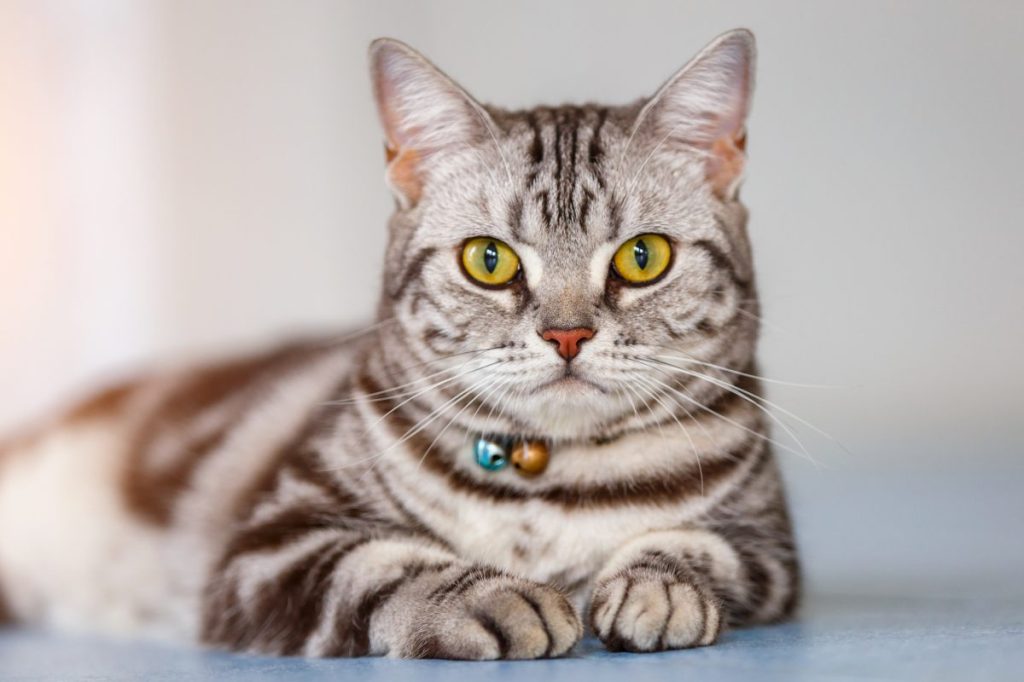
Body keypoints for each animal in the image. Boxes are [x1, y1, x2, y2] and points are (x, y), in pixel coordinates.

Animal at [0, 29, 798, 655]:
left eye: (642, 257)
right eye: (489, 260)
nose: (567, 334)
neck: (550, 480)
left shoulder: (773, 547)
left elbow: (705, 547)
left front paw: (658, 587)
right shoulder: (271, 543)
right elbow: (387, 566)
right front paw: (491, 594)